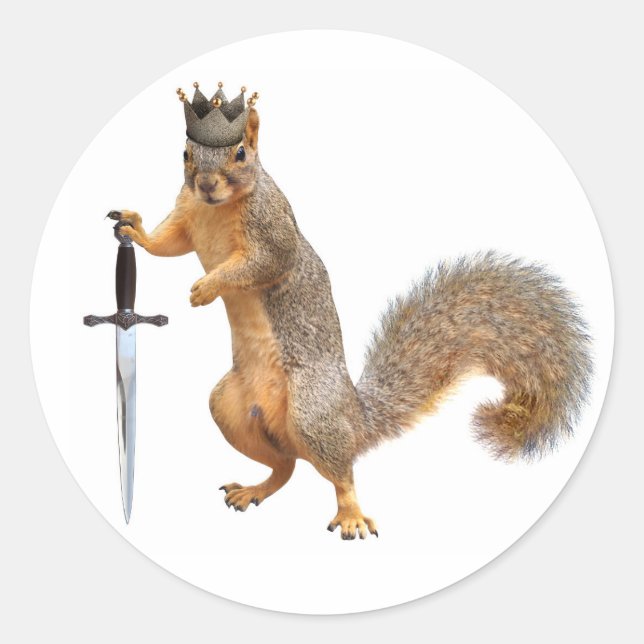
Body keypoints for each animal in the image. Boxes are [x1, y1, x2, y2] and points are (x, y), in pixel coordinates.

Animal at [113, 105, 592, 540]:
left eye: (242, 154)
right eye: (185, 154)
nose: (207, 184)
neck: (216, 208)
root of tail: (355, 419)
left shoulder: (272, 228)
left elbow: (264, 263)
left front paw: (208, 286)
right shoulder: (186, 214)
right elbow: (166, 244)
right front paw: (133, 229)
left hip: (312, 411)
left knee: (340, 473)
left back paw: (350, 515)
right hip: (229, 407)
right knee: (286, 466)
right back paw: (255, 489)